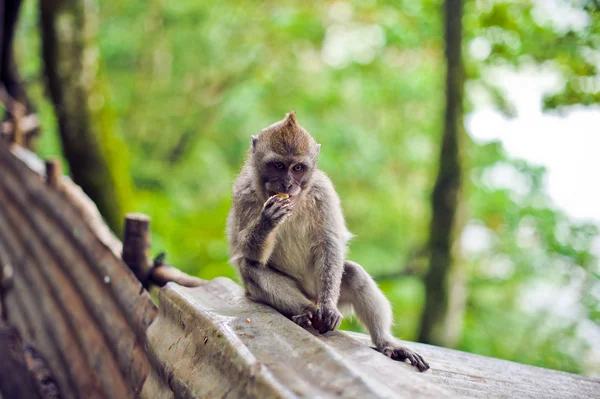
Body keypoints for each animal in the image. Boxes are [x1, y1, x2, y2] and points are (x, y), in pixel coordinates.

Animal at [227, 110, 428, 372]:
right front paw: (267, 220)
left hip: (321, 286)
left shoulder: (323, 191)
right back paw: (305, 312)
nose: (287, 184)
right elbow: (247, 253)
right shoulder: (243, 191)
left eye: (298, 168)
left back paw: (385, 342)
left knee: (353, 274)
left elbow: (330, 245)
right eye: (279, 166)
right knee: (251, 268)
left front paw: (330, 308)